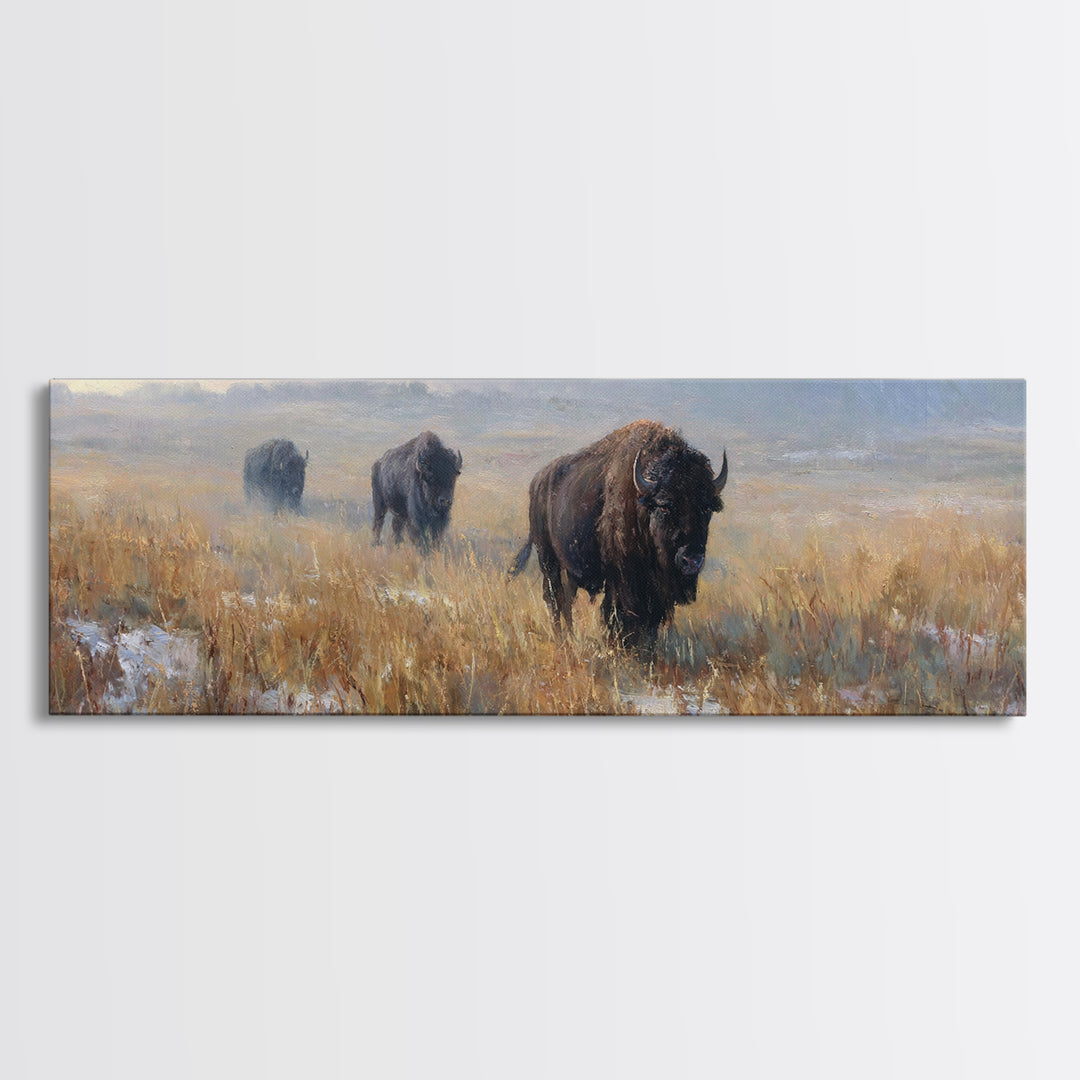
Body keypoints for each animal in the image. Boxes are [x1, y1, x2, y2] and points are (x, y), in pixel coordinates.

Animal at [509, 420, 728, 650]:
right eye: (664, 505)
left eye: (706, 508)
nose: (692, 560)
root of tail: (537, 481)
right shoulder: (621, 580)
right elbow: (619, 616)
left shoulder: (655, 590)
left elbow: (651, 622)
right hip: (547, 557)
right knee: (553, 597)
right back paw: (561, 639)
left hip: (570, 567)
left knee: (567, 600)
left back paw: (572, 637)